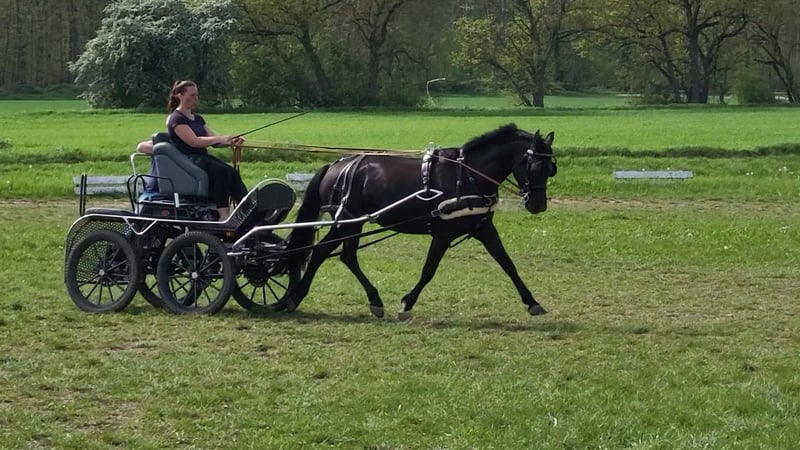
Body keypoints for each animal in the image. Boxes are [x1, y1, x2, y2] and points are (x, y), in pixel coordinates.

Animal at [275, 123, 557, 320]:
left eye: (551, 169)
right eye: (535, 166)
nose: (538, 205)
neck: (467, 176)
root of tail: (336, 164)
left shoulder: (483, 228)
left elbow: (508, 264)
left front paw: (532, 302)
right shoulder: (442, 234)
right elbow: (428, 270)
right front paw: (407, 304)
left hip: (354, 224)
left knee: (347, 256)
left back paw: (374, 300)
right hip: (347, 222)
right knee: (321, 252)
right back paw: (295, 297)